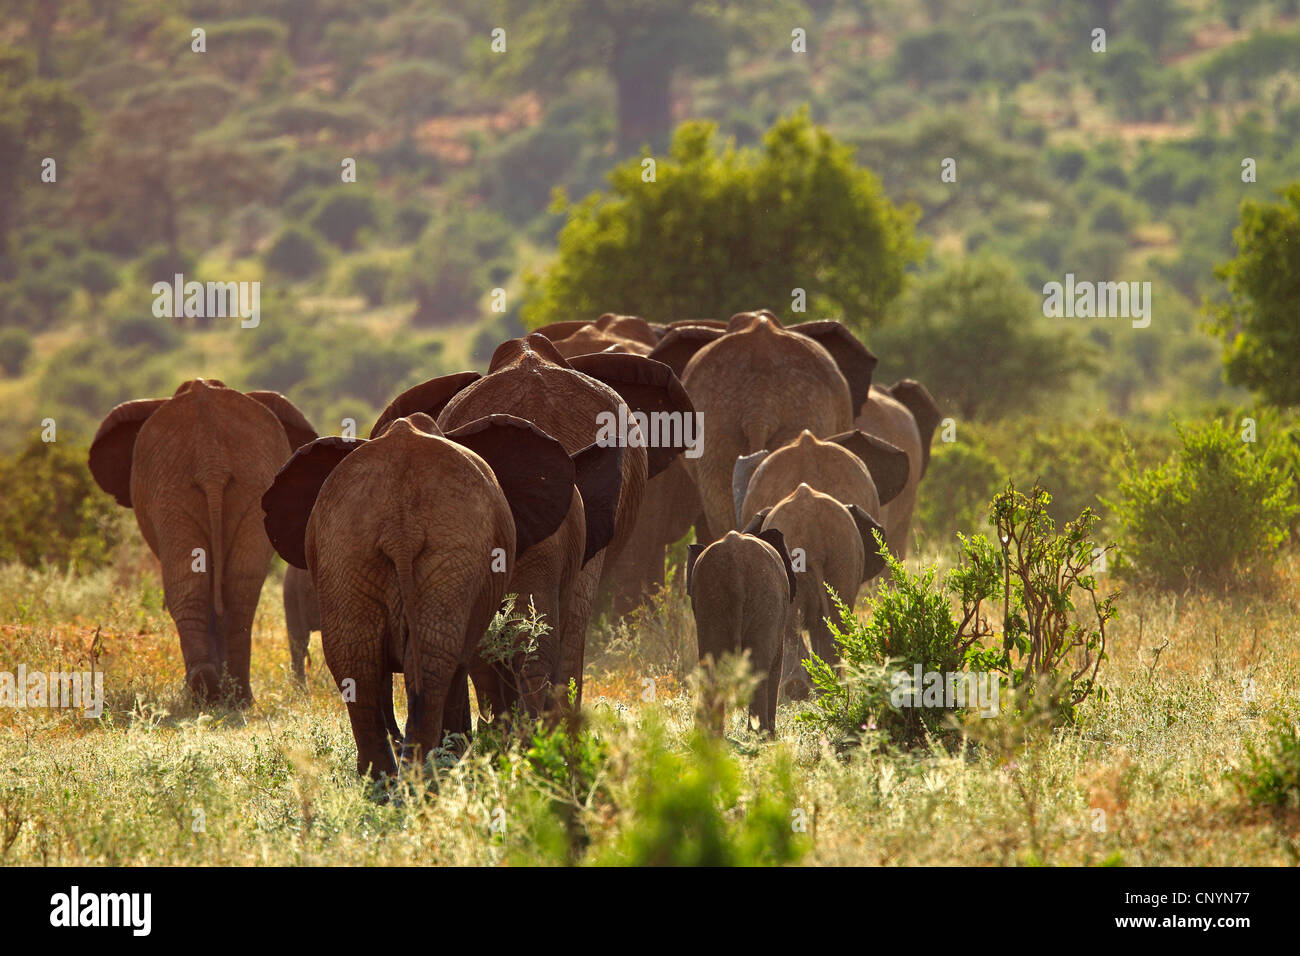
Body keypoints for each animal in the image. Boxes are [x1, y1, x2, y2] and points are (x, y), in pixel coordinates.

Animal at [88, 378, 317, 703]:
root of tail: (211, 460)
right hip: (247, 488)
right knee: (240, 587)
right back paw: (233, 695)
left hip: (171, 492)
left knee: (187, 585)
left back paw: (205, 692)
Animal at [262, 412, 583, 778]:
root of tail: (401, 524)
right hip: (445, 551)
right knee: (433, 662)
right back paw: (425, 775)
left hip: (350, 551)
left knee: (357, 662)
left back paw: (384, 780)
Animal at [685, 529, 796, 735]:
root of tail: (734, 565)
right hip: (765, 599)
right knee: (759, 669)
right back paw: (760, 735)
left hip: (712, 599)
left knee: (712, 668)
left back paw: (711, 738)